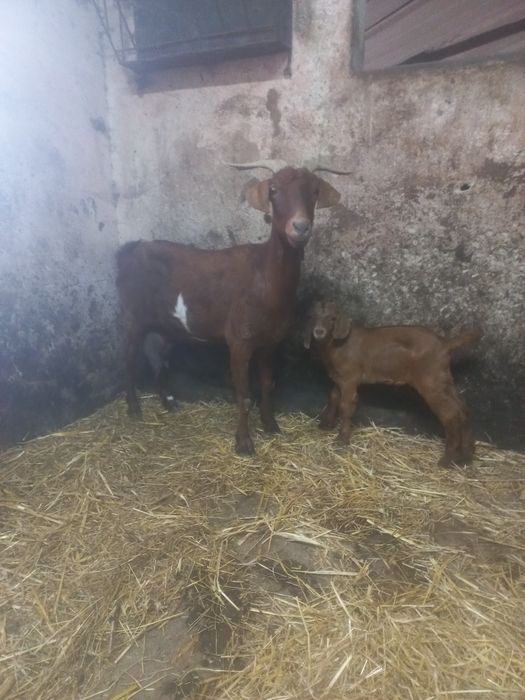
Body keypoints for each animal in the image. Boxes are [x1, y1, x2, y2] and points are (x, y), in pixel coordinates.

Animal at [116, 161, 348, 454]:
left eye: (315, 190)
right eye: (274, 190)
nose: (300, 227)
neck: (264, 276)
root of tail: (131, 248)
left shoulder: (270, 342)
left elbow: (267, 385)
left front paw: (270, 425)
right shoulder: (239, 340)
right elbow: (244, 395)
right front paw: (244, 442)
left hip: (167, 323)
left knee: (157, 356)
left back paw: (168, 402)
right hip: (133, 314)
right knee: (128, 358)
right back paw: (134, 408)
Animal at [303, 301, 481, 466]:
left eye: (332, 318)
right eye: (312, 317)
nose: (319, 331)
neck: (337, 345)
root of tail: (445, 343)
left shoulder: (349, 378)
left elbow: (346, 406)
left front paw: (341, 440)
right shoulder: (339, 378)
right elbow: (333, 396)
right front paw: (326, 425)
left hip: (431, 381)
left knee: (451, 414)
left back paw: (447, 459)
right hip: (443, 379)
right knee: (463, 410)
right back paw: (466, 456)